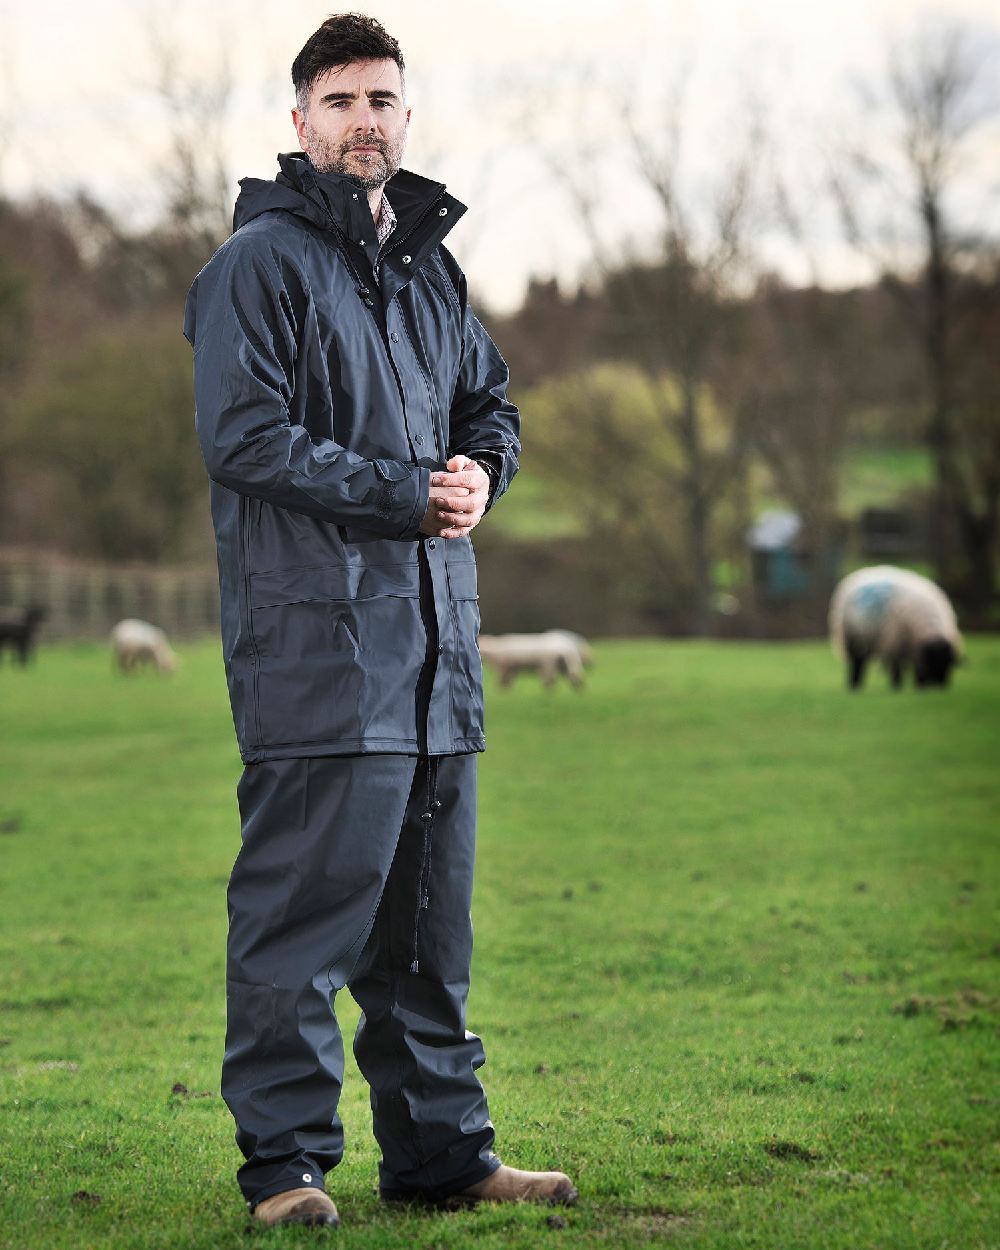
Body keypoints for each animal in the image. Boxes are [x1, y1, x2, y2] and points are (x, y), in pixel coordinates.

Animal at [830, 570, 960, 695]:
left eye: (948, 663)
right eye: (932, 662)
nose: (939, 686)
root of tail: (859, 574)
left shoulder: (913, 647)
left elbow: (915, 666)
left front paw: (918, 687)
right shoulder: (896, 641)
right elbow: (897, 666)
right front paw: (899, 686)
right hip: (853, 638)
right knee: (857, 662)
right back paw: (854, 685)